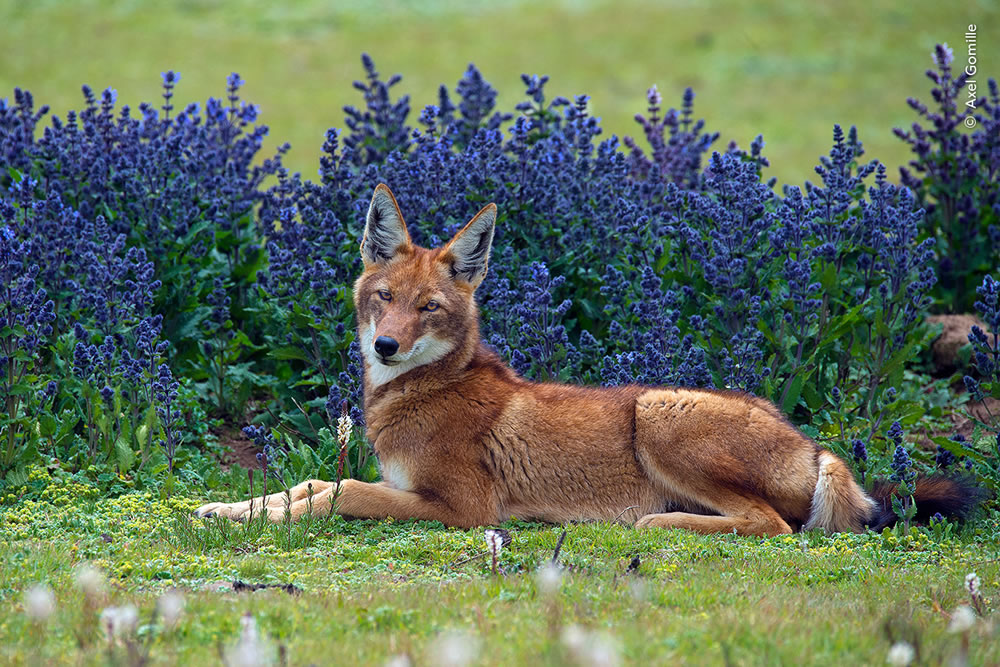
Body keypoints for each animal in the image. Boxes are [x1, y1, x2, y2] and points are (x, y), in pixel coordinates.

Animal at [197, 184, 984, 536]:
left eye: (429, 308)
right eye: (384, 298)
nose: (386, 346)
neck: (419, 391)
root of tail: (812, 445)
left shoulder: (464, 507)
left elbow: (338, 494)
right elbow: (304, 484)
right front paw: (224, 509)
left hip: (657, 413)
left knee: (771, 525)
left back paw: (662, 524)